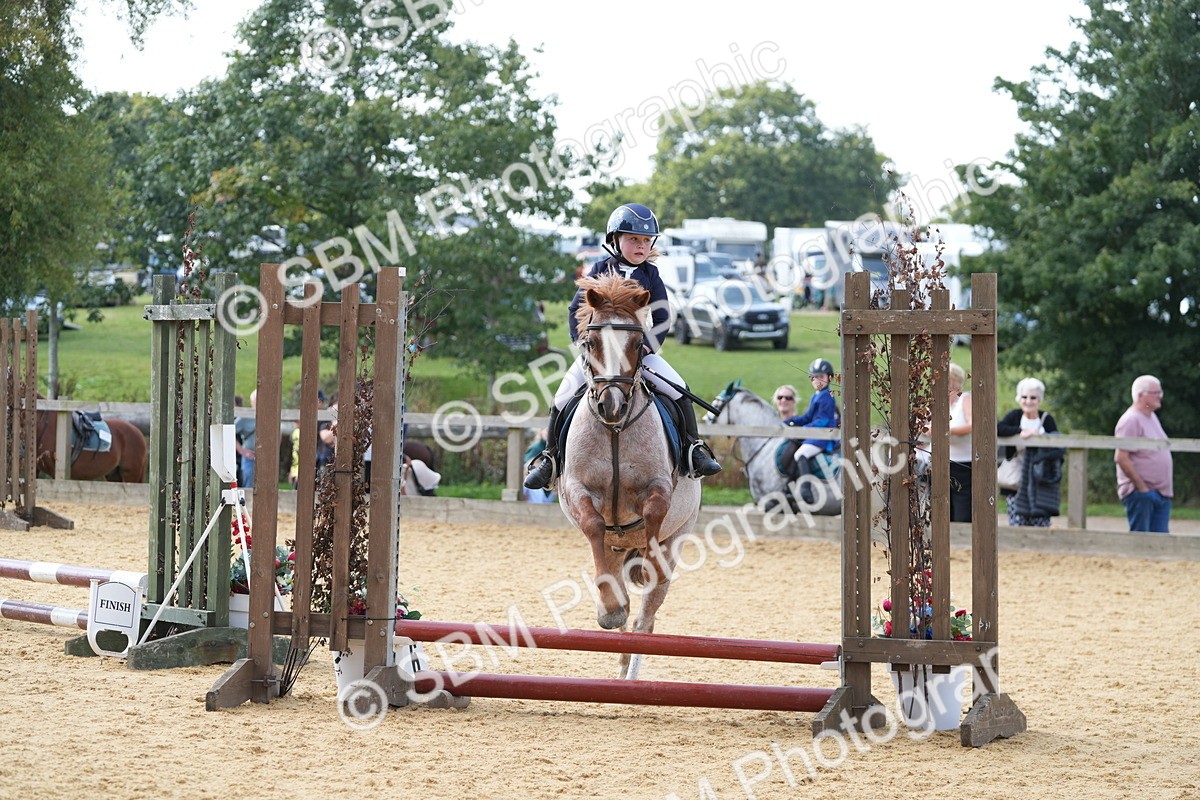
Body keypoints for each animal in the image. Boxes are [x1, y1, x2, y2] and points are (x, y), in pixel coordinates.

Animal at [557, 273, 701, 680]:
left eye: (638, 344)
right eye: (590, 343)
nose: (612, 405)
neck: (615, 430)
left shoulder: (658, 488)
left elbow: (653, 513)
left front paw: (648, 566)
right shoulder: (578, 489)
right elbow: (592, 523)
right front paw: (609, 608)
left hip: (677, 538)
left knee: (645, 620)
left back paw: (632, 674)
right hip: (614, 548)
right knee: (618, 588)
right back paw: (616, 621)